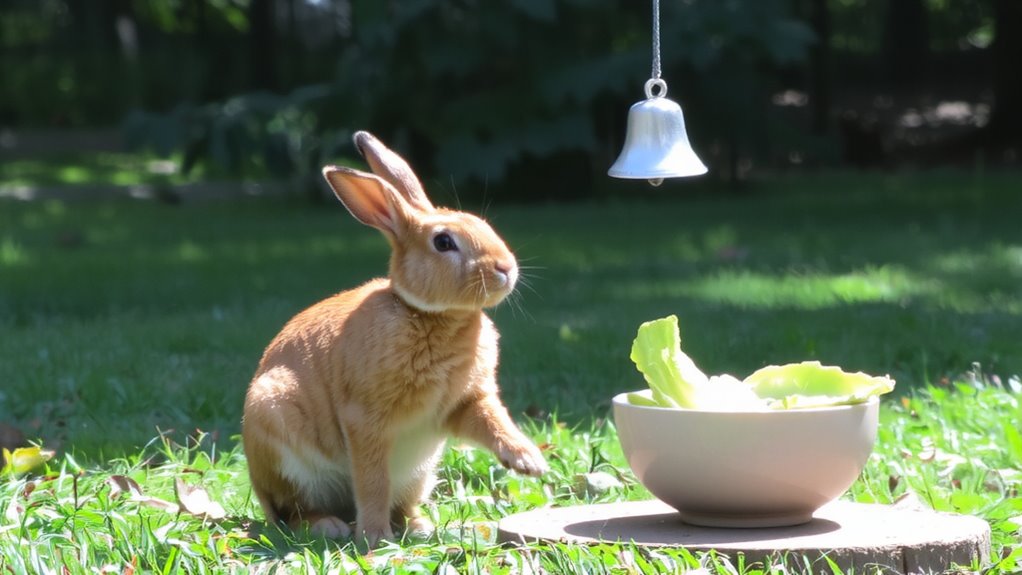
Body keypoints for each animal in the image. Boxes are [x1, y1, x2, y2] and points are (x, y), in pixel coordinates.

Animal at [242, 131, 548, 546]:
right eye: (443, 242)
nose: (505, 268)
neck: (428, 315)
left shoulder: (466, 402)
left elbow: (494, 422)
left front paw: (529, 462)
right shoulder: (366, 420)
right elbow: (372, 481)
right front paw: (374, 537)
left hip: (419, 474)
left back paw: (418, 526)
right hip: (281, 438)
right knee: (294, 512)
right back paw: (331, 526)